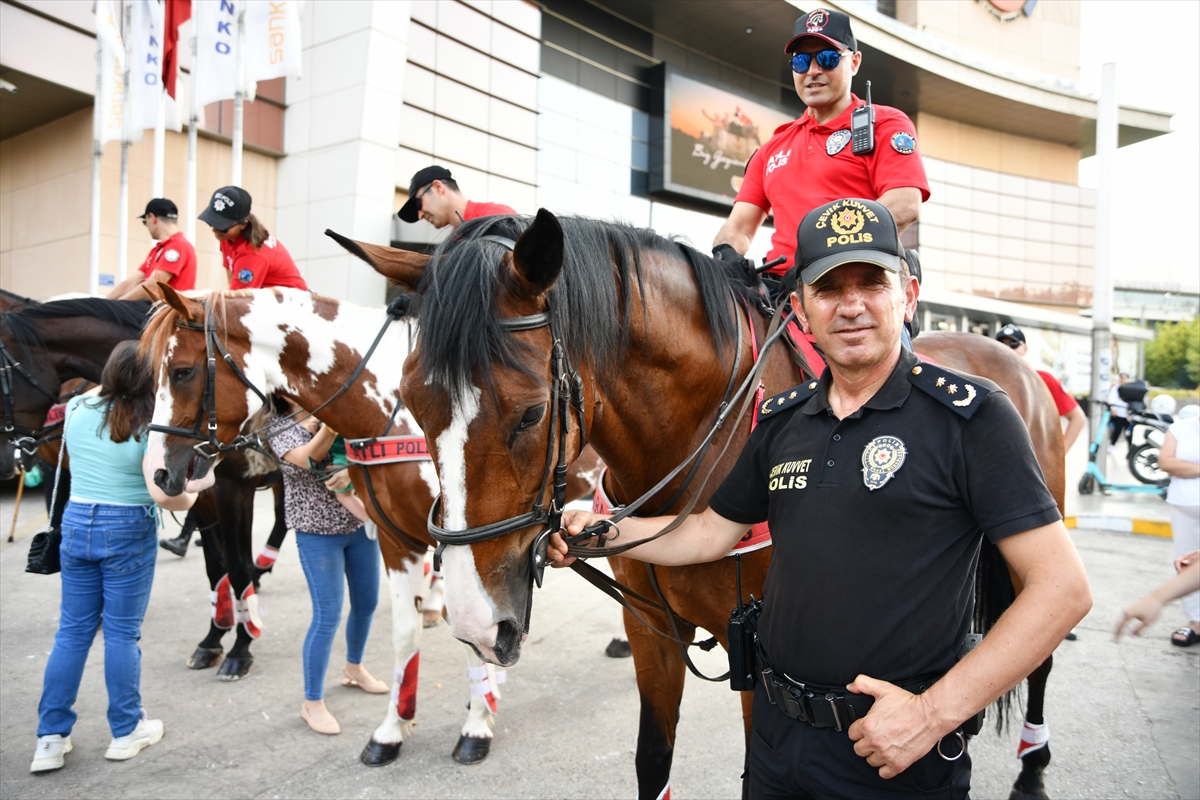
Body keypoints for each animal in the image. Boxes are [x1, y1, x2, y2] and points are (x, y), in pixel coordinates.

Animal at [0, 297, 288, 681]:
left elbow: (237, 566)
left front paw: (240, 648)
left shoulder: (233, 490)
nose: (6, 460)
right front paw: (213, 638)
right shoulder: (196, 491)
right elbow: (216, 566)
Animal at [142, 284, 600, 767]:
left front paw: (476, 724)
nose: (158, 474)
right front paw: (392, 728)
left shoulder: (472, 548)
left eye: (182, 371)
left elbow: (475, 633)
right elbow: (405, 635)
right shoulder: (398, 542)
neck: (389, 419)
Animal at [379, 211, 1065, 800]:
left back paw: (1032, 767)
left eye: (530, 413)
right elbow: (652, 762)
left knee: (1039, 656)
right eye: (413, 401)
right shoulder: (650, 632)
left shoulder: (761, 662)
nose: (476, 623)